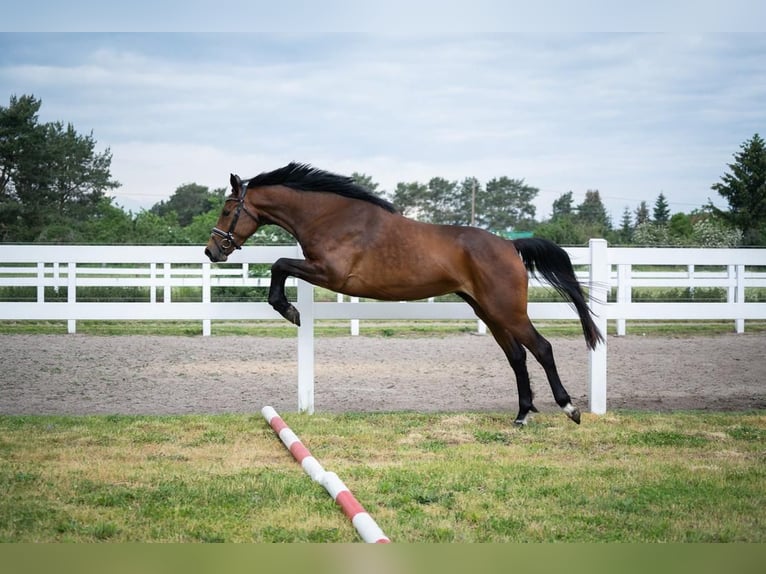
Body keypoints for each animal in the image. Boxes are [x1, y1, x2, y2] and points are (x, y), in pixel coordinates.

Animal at [207, 164, 604, 426]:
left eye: (227, 210)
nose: (212, 252)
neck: (331, 217)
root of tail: (510, 245)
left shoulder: (330, 273)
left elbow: (279, 264)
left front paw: (288, 309)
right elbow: (280, 265)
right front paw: (289, 309)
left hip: (507, 311)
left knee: (541, 349)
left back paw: (569, 409)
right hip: (488, 312)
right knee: (517, 356)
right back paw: (521, 415)